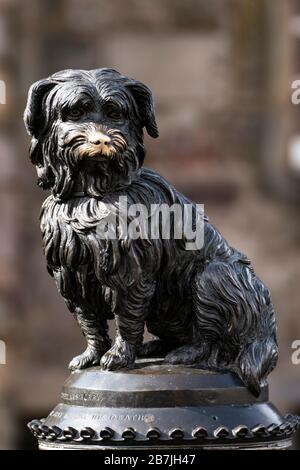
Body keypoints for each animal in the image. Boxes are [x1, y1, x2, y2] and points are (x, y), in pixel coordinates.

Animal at [24, 68, 278, 394]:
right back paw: (153, 347)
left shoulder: (131, 273)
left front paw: (119, 356)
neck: (94, 193)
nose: (101, 141)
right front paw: (91, 355)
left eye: (115, 113)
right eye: (75, 112)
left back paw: (185, 354)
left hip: (213, 278)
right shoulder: (73, 274)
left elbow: (127, 317)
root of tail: (267, 335)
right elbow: (89, 321)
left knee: (212, 342)